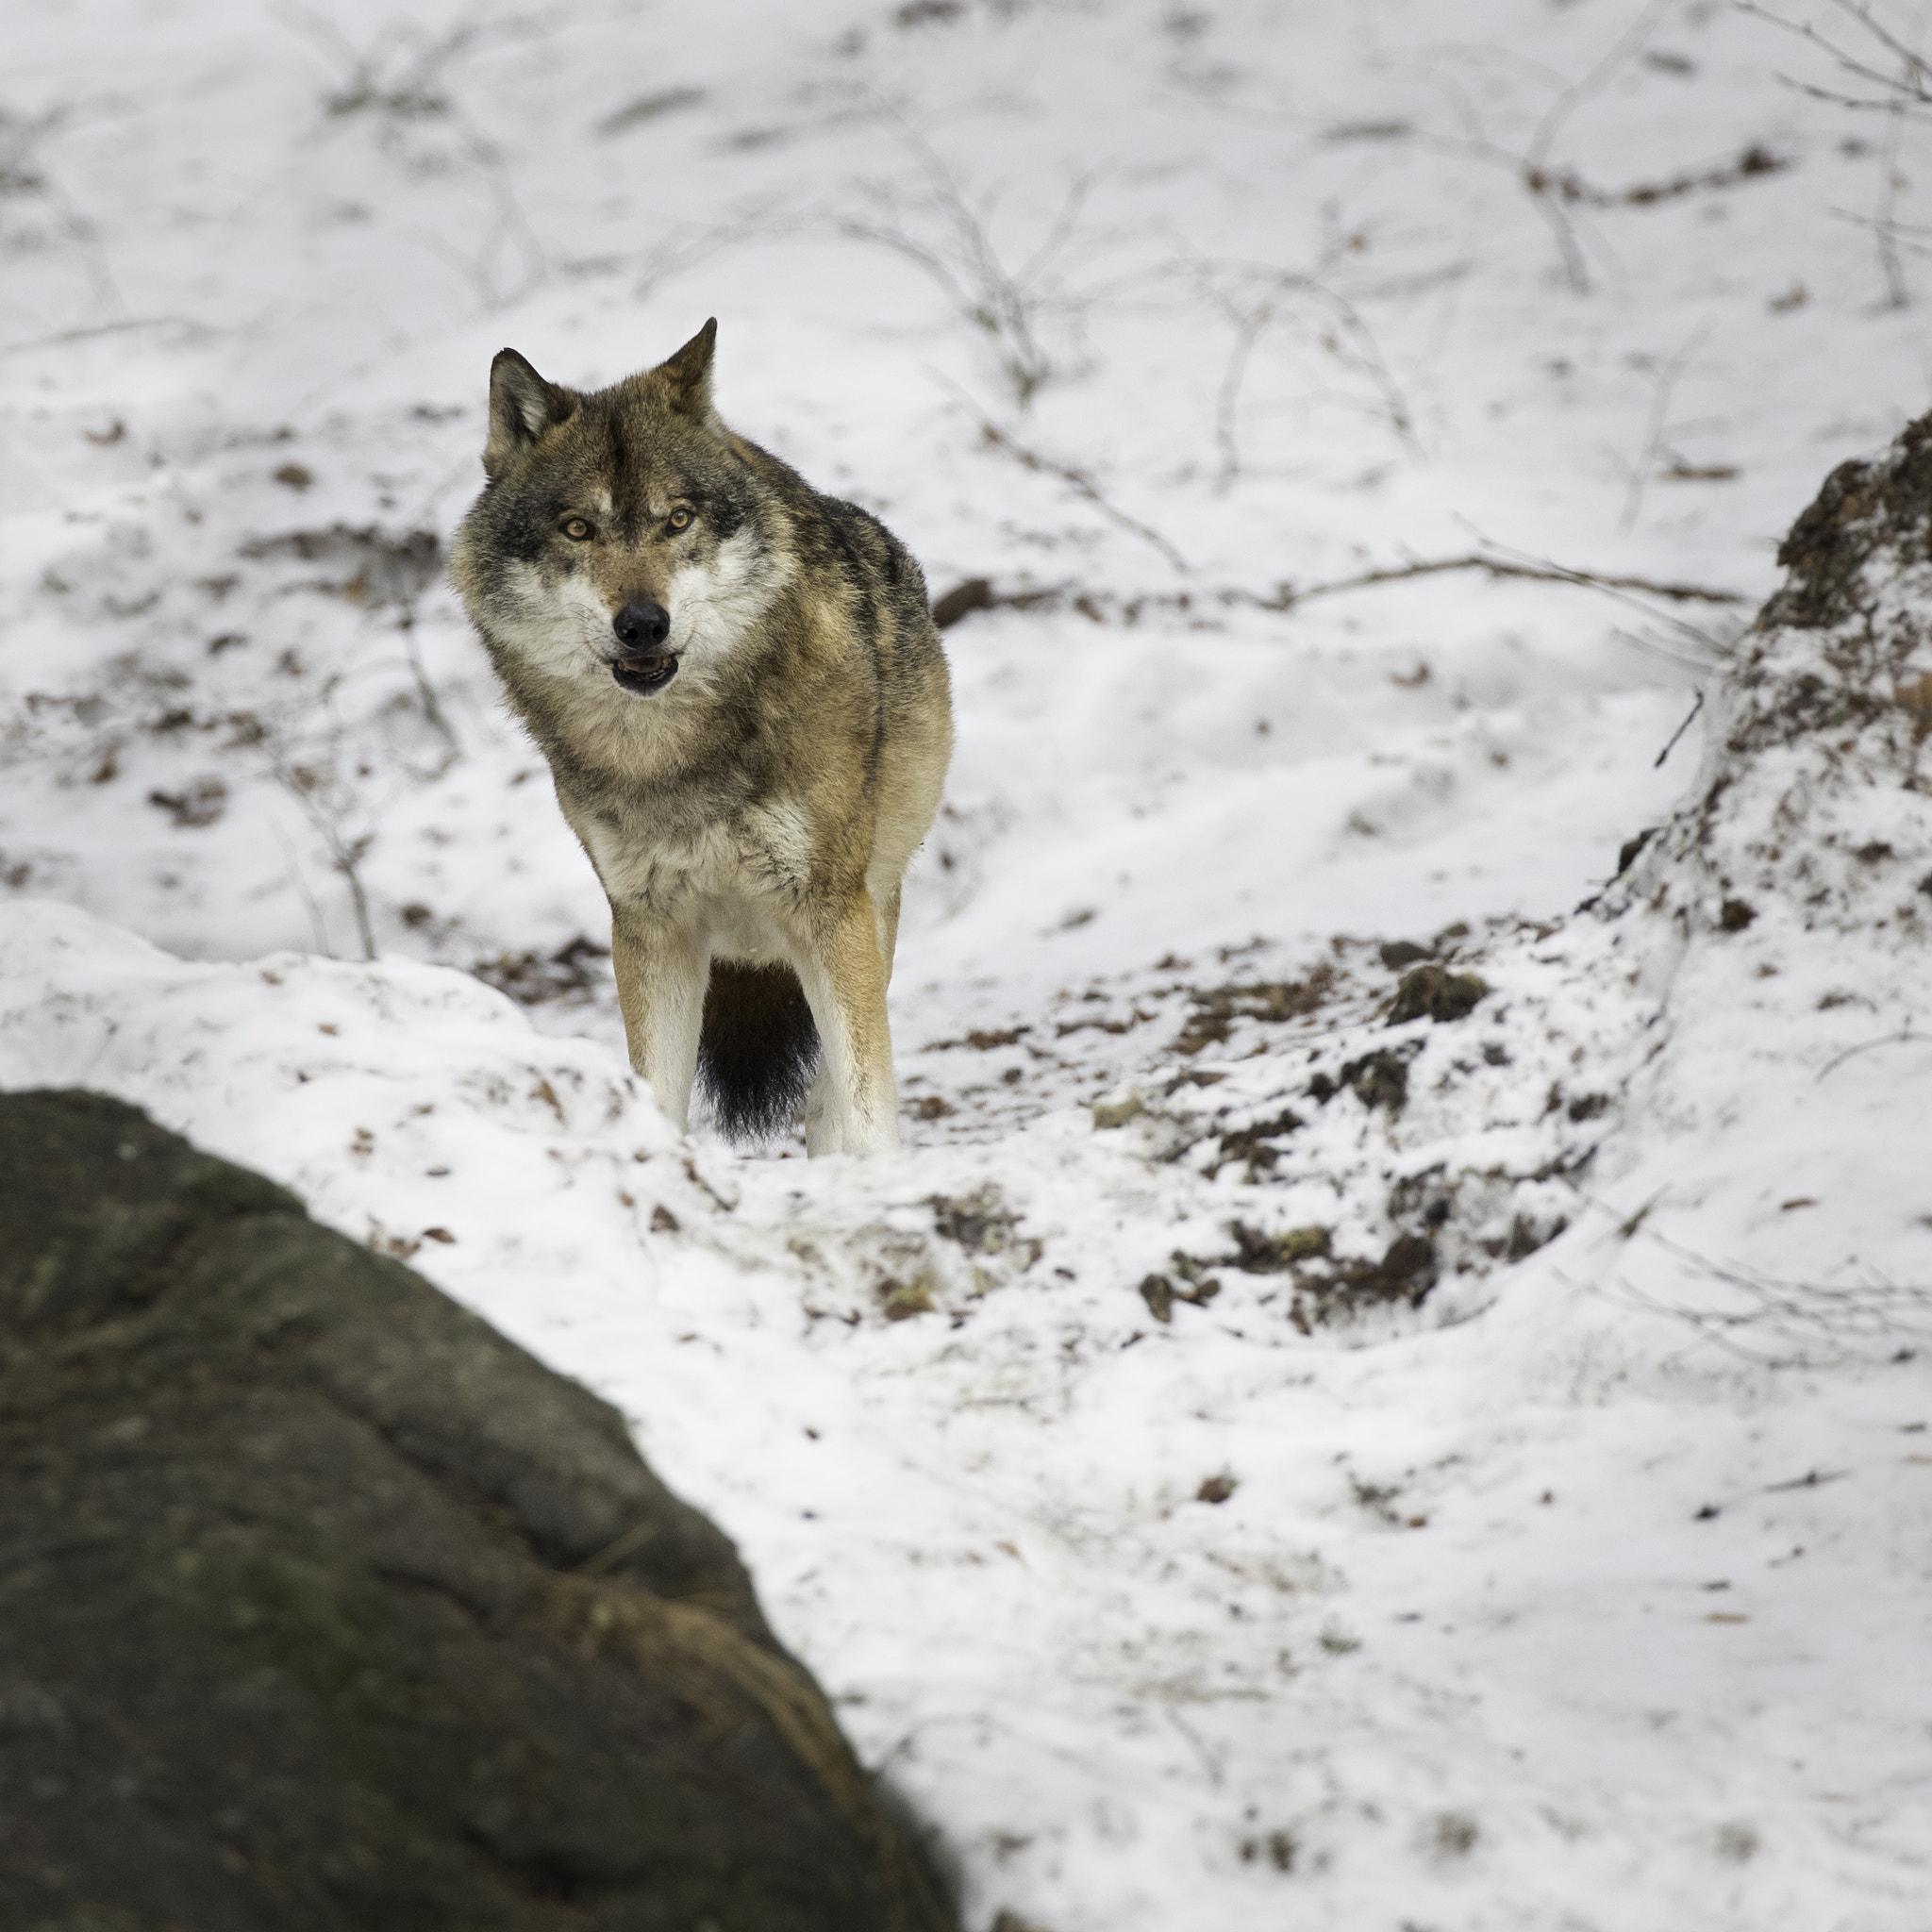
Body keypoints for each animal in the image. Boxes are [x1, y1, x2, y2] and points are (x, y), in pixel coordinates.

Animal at [450, 320, 952, 1155]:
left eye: (677, 520)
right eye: (578, 528)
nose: (642, 624)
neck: (672, 758)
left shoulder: (829, 907)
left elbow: (864, 1099)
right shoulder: (649, 928)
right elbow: (656, 1093)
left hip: (870, 906)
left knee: (830, 1095)